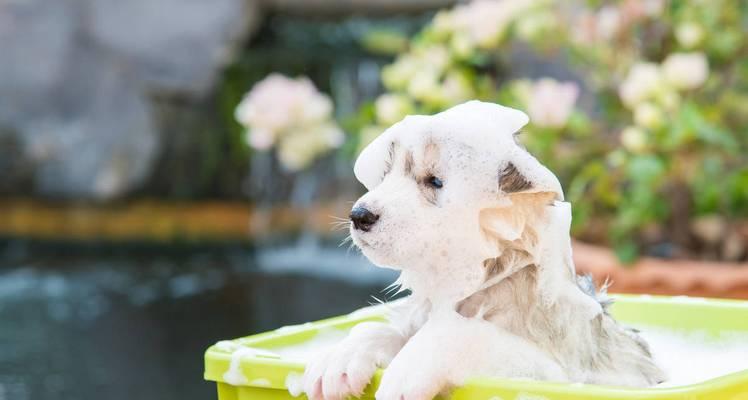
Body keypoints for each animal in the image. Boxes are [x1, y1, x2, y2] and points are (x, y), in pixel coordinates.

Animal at [300, 101, 664, 400]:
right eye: (385, 175)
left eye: (435, 182)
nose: (360, 215)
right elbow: (383, 329)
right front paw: (340, 357)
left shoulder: (556, 369)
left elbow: (467, 334)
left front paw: (410, 368)